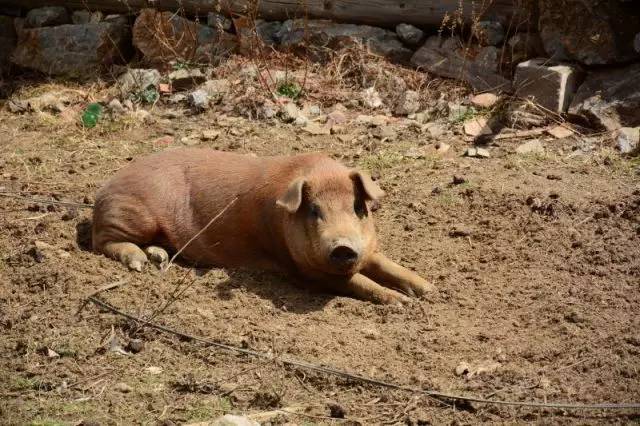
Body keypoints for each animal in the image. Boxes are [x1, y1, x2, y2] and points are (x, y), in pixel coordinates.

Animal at [91, 148, 436, 304]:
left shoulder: (368, 250)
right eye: (314, 211)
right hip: (133, 215)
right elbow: (358, 282)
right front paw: (401, 303)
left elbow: (387, 264)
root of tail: (103, 188)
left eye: (358, 207)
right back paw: (139, 263)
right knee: (102, 241)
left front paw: (428, 290)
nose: (343, 247)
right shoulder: (304, 270)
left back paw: (159, 259)